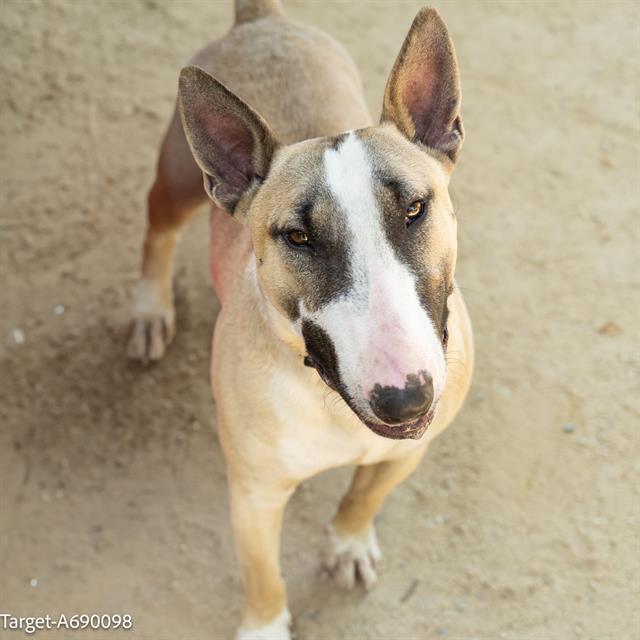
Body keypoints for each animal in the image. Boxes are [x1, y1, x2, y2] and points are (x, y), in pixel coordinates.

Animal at [127, 2, 472, 636]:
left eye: (415, 208)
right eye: (298, 237)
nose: (405, 399)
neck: (329, 400)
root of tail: (261, 20)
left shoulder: (405, 452)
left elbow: (363, 496)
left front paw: (349, 543)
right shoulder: (254, 493)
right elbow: (263, 573)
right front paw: (264, 625)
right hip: (180, 178)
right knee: (156, 225)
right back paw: (148, 309)